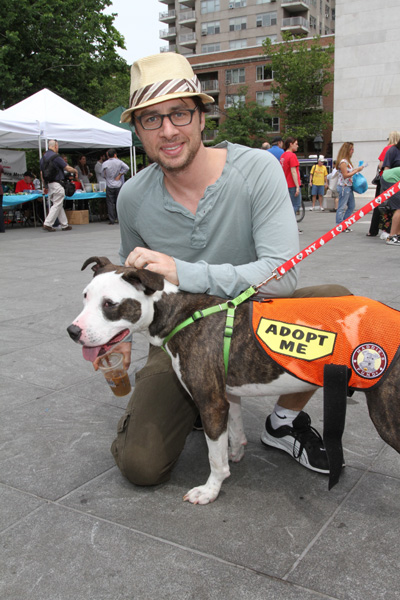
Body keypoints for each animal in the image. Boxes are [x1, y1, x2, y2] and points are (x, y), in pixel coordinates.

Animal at [67, 255, 400, 504]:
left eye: (109, 304)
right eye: (84, 297)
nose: (72, 331)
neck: (178, 315)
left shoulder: (210, 403)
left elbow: (214, 457)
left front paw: (210, 490)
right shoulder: (228, 395)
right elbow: (233, 432)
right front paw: (235, 453)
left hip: (387, 416)